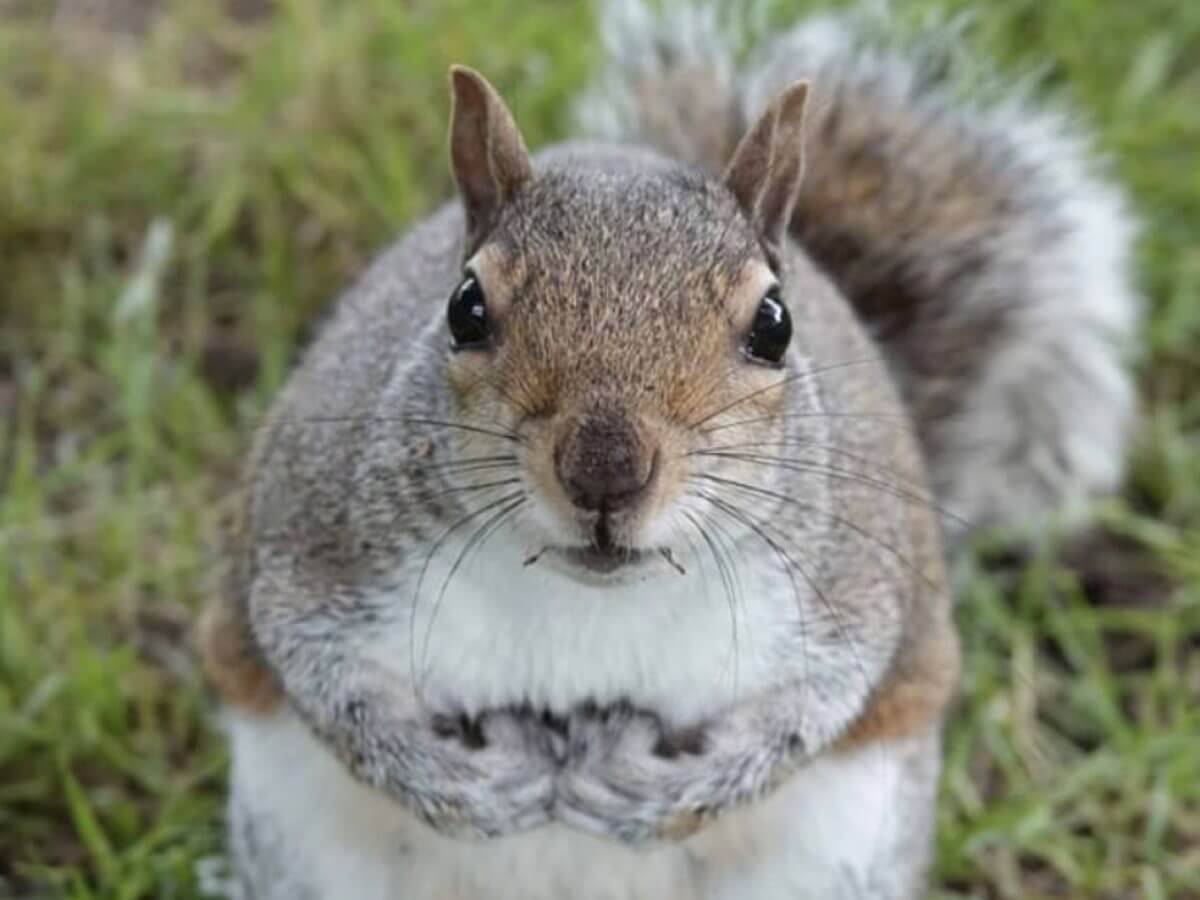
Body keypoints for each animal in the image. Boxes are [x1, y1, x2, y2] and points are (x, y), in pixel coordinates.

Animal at [196, 3, 1132, 897]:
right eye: (465, 307)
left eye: (774, 324)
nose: (605, 472)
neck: (590, 601)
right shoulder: (312, 545)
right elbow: (321, 676)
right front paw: (459, 782)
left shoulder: (849, 587)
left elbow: (812, 708)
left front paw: (661, 793)